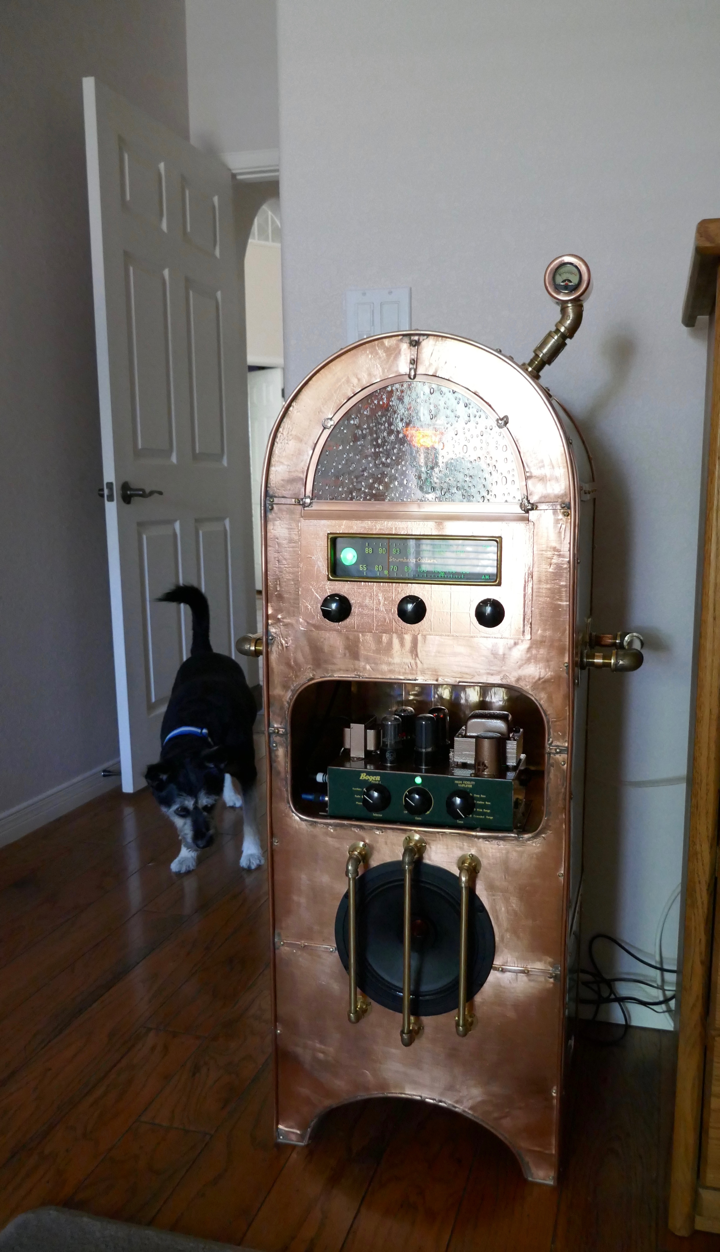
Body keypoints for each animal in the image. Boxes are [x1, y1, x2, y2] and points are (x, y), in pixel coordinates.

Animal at [144, 585, 264, 875]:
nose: (203, 843)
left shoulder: (248, 769)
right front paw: (185, 855)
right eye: (180, 811)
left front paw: (252, 852)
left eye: (210, 805)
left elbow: (250, 818)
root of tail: (203, 652)